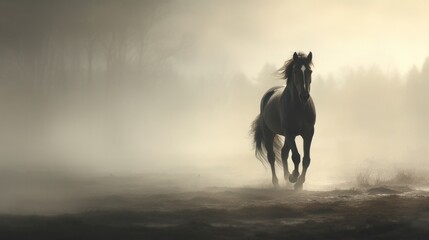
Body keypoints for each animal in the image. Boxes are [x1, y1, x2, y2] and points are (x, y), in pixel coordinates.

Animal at [251, 52, 314, 189]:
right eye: (295, 71)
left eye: (310, 71)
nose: (304, 96)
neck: (299, 108)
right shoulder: (289, 132)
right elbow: (296, 156)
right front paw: (294, 177)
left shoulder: (308, 133)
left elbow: (306, 159)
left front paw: (299, 182)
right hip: (270, 134)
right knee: (272, 156)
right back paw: (277, 182)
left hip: (288, 136)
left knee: (284, 152)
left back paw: (286, 177)